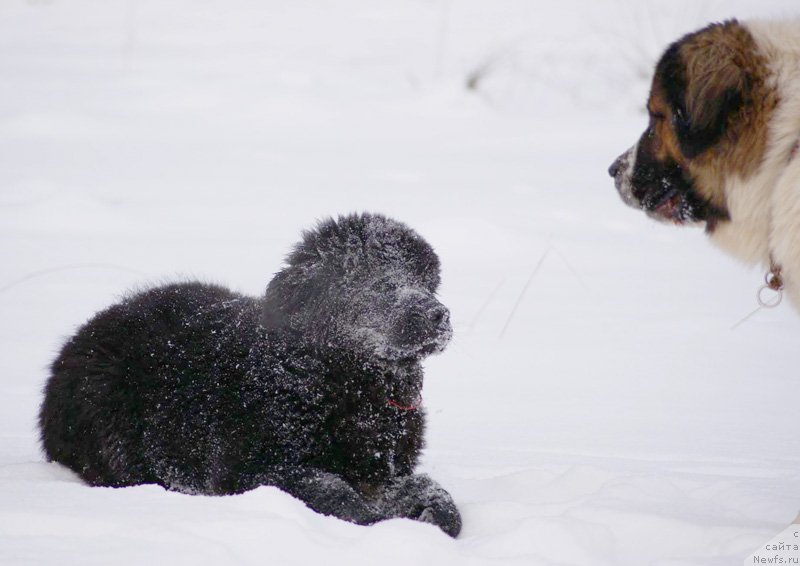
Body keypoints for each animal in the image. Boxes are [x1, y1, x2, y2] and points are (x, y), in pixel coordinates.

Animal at [39, 213, 462, 536]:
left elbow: (430, 490)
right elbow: (330, 490)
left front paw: (437, 512)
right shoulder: (250, 469)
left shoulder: (383, 465)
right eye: (378, 284)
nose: (438, 315)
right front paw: (376, 520)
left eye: (425, 282)